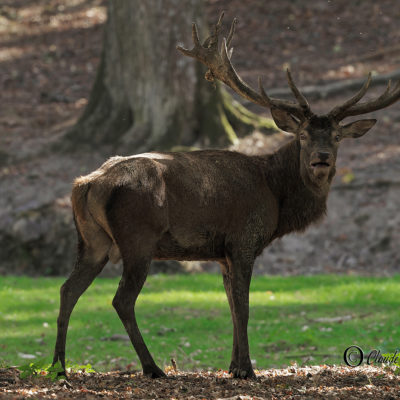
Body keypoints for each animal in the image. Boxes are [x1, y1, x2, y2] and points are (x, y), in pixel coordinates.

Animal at [52, 14, 400, 380]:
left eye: (336, 136)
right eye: (304, 135)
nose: (322, 158)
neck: (276, 195)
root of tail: (88, 183)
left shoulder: (221, 254)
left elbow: (232, 306)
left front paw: (233, 365)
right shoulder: (244, 240)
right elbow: (244, 307)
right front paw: (247, 369)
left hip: (92, 240)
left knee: (67, 289)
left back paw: (59, 365)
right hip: (138, 238)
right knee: (122, 299)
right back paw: (152, 367)